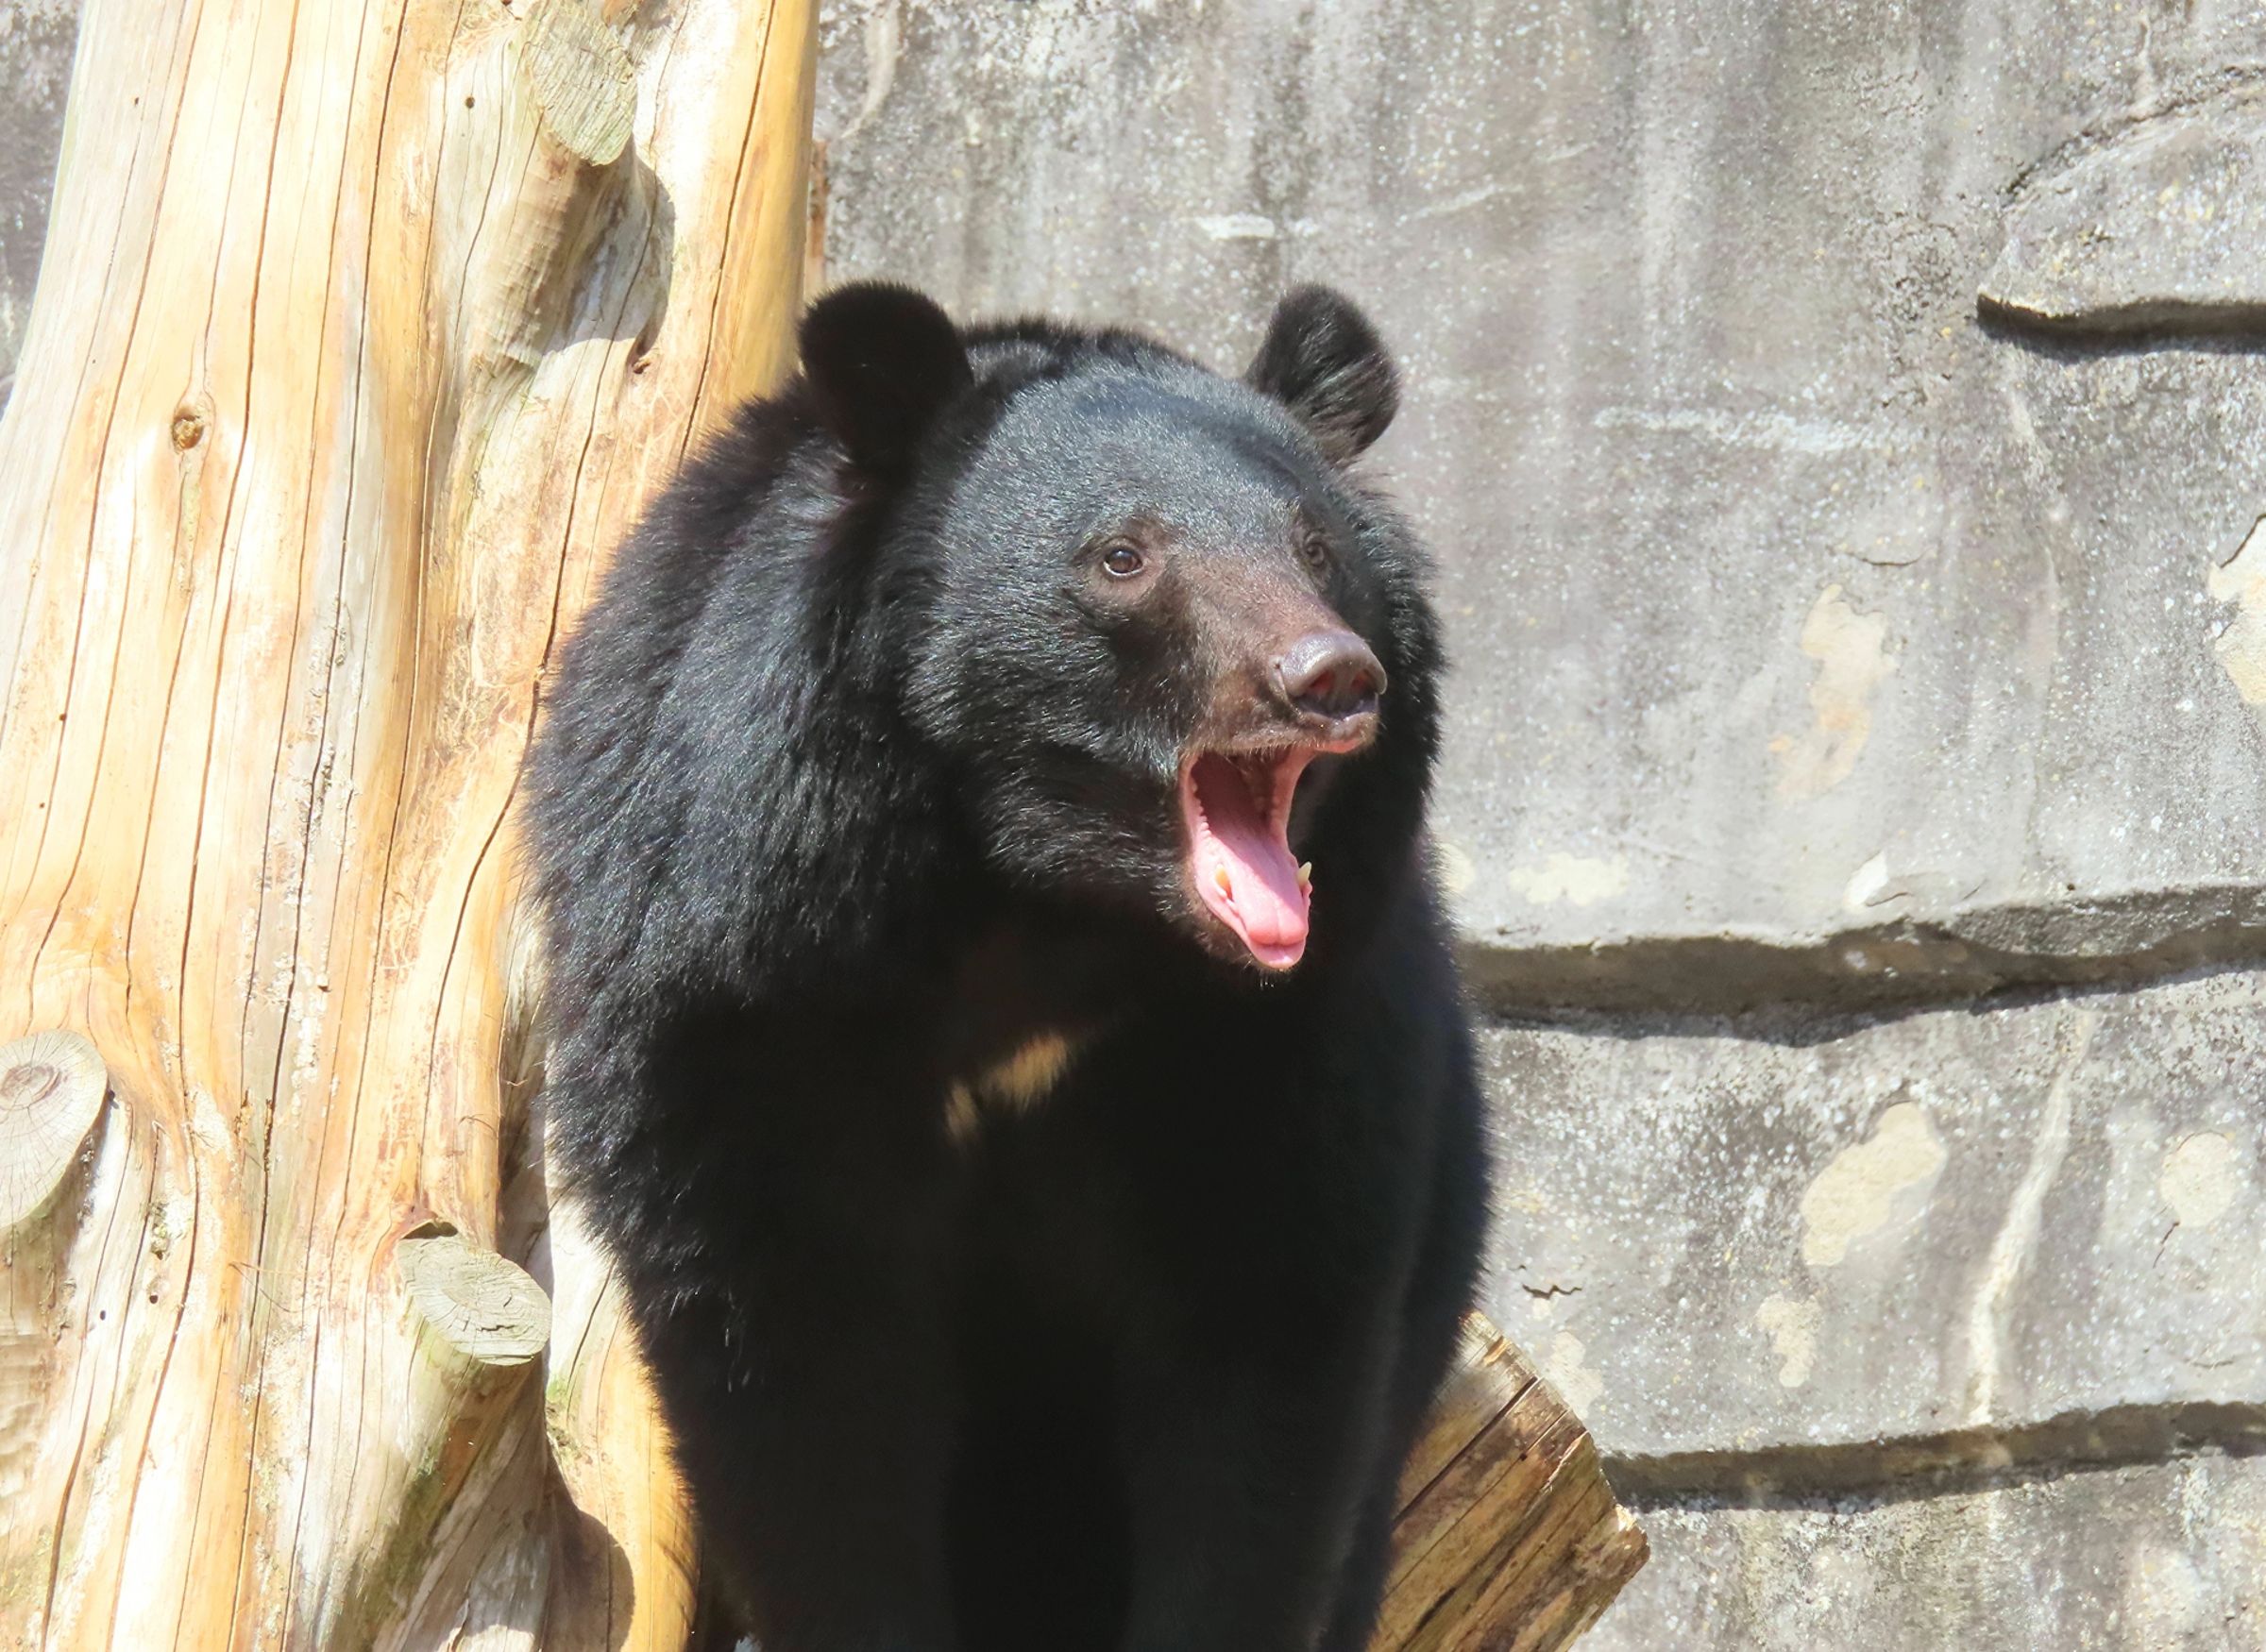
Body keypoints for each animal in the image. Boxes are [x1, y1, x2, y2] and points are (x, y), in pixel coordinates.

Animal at [524, 280, 1489, 1652]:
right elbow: (801, 1368)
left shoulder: (1289, 1032)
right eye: (1122, 556)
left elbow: (1261, 1356)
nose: (1330, 677)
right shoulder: (738, 989)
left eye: (1316, 549)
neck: (1041, 904)